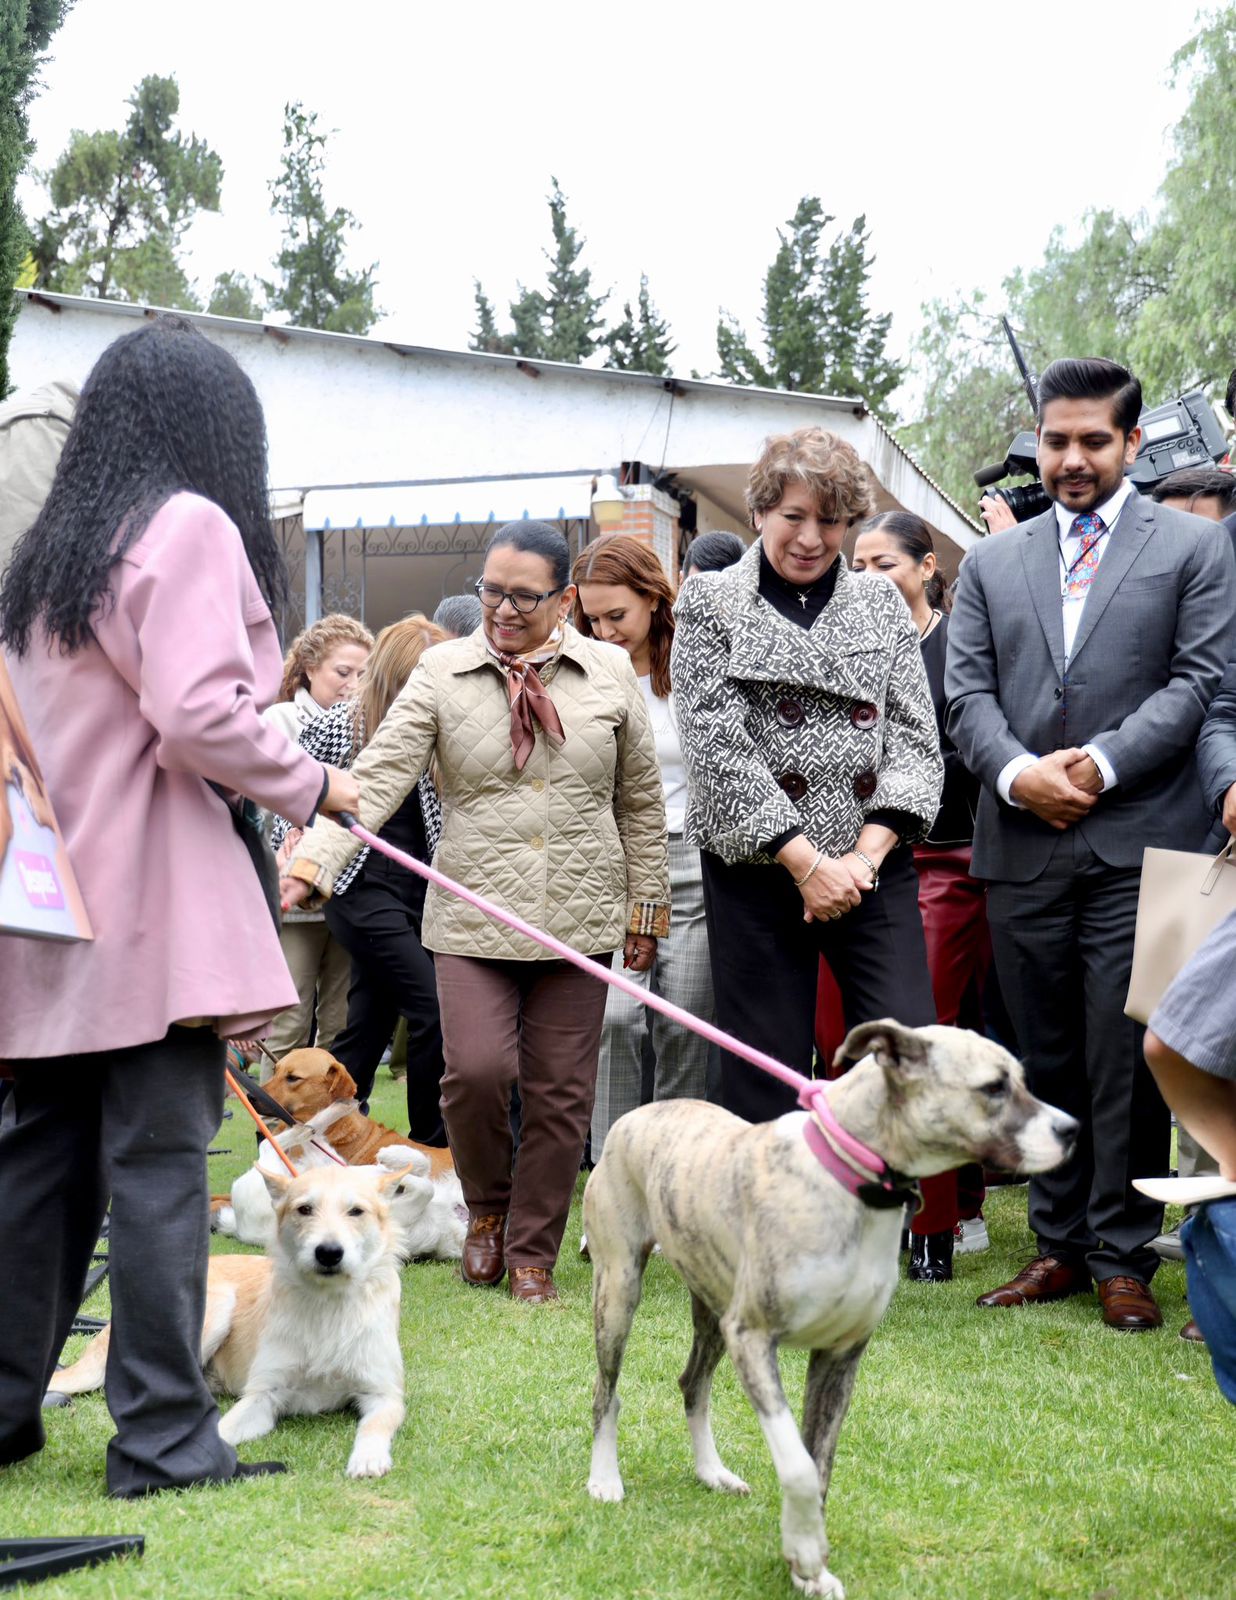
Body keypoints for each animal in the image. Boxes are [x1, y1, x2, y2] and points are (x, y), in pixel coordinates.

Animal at [53, 1158, 413, 1478]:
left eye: (356, 1212)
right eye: (304, 1209)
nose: (328, 1252)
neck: (328, 1306)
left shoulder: (385, 1395)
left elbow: (374, 1427)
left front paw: (367, 1458)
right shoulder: (263, 1395)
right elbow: (224, 1427)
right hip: (219, 1307)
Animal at [582, 1024, 1075, 1600]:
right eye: (994, 1087)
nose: (1072, 1130)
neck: (850, 1180)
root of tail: (634, 1117)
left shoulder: (839, 1356)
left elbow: (820, 1466)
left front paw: (807, 1566)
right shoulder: (754, 1338)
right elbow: (796, 1465)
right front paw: (805, 1550)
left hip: (711, 1303)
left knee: (692, 1383)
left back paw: (712, 1472)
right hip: (619, 1290)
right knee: (607, 1392)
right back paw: (604, 1479)